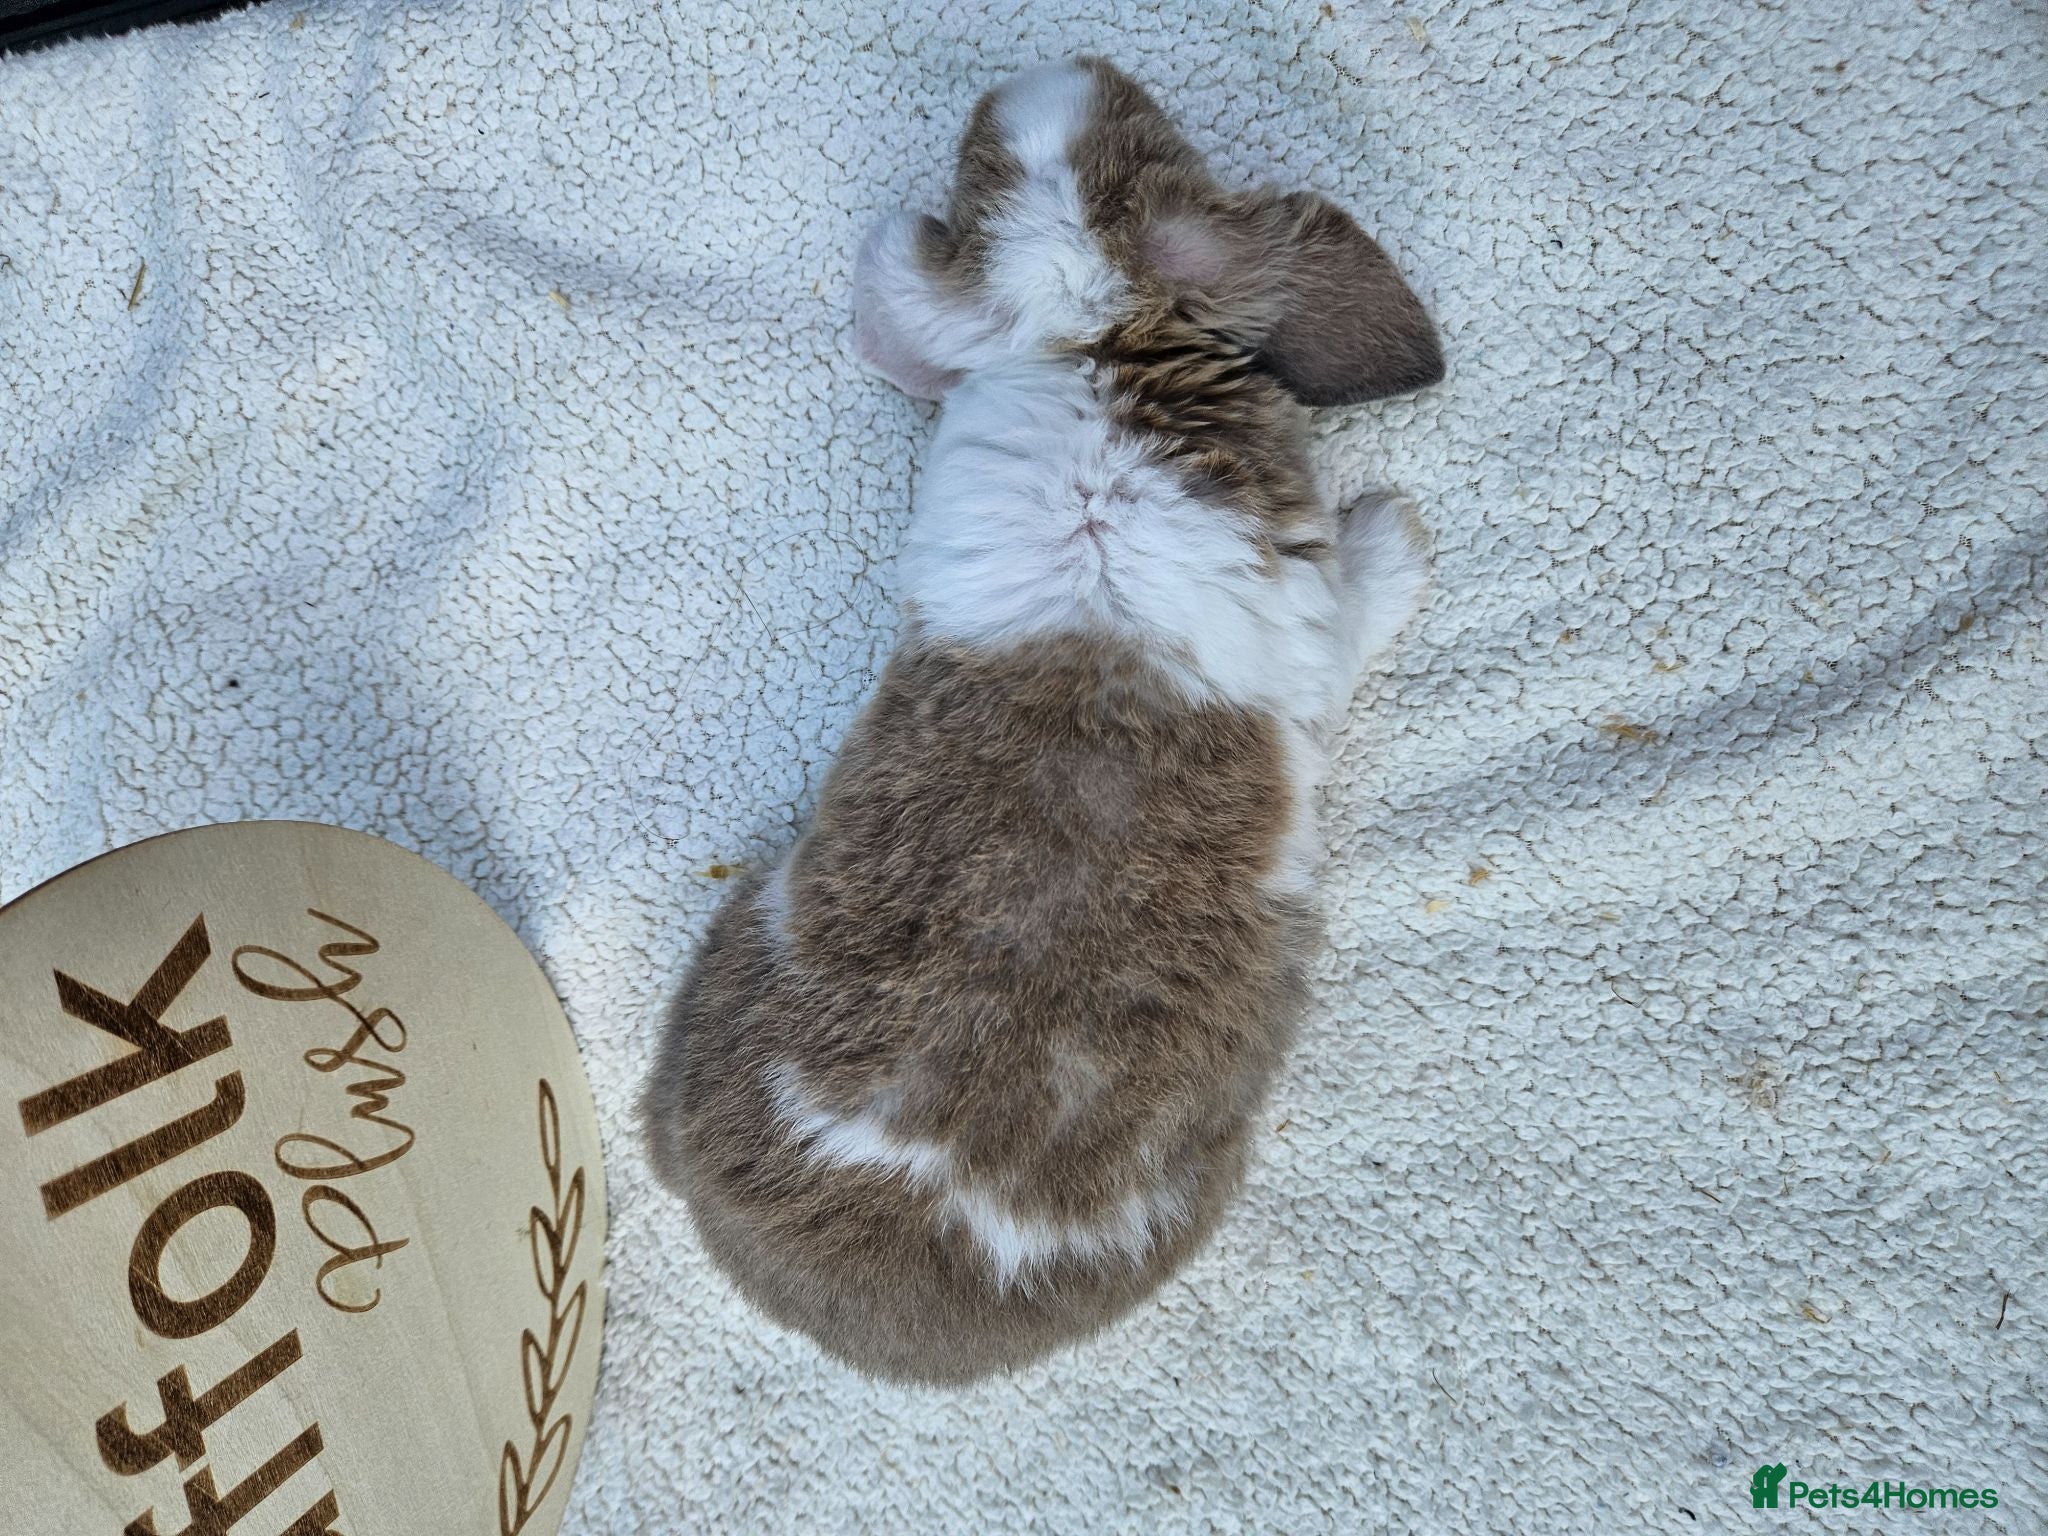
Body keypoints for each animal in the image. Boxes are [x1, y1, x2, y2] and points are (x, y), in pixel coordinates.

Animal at [643, 56, 1443, 1386]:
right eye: (1150, 132)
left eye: (979, 173)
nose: (1050, 69)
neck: (1084, 328)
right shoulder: (1307, 630)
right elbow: (1355, 606)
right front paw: (1399, 538)